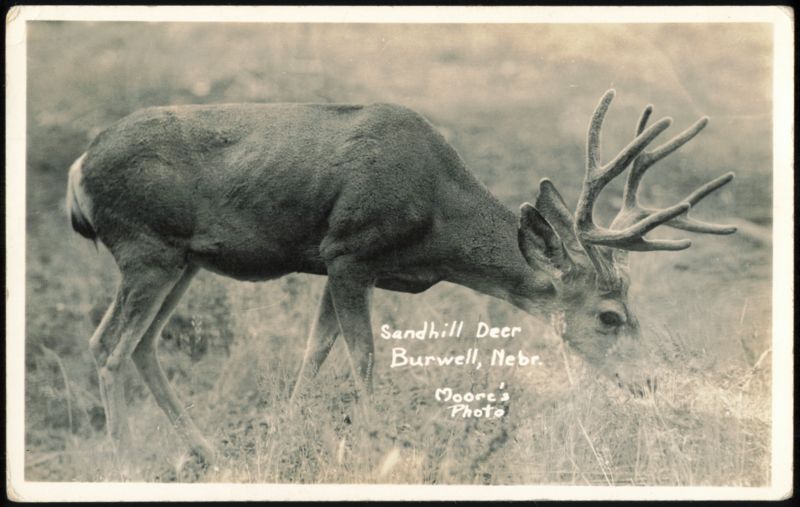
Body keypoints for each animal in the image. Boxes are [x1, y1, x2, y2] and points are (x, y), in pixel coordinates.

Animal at [67, 89, 735, 467]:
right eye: (609, 316)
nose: (650, 380)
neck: (436, 221)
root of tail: (79, 165)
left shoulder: (335, 264)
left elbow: (315, 352)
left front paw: (283, 435)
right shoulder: (347, 251)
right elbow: (363, 361)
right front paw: (377, 442)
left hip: (183, 259)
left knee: (143, 345)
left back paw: (203, 451)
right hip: (146, 247)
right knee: (107, 345)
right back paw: (122, 462)